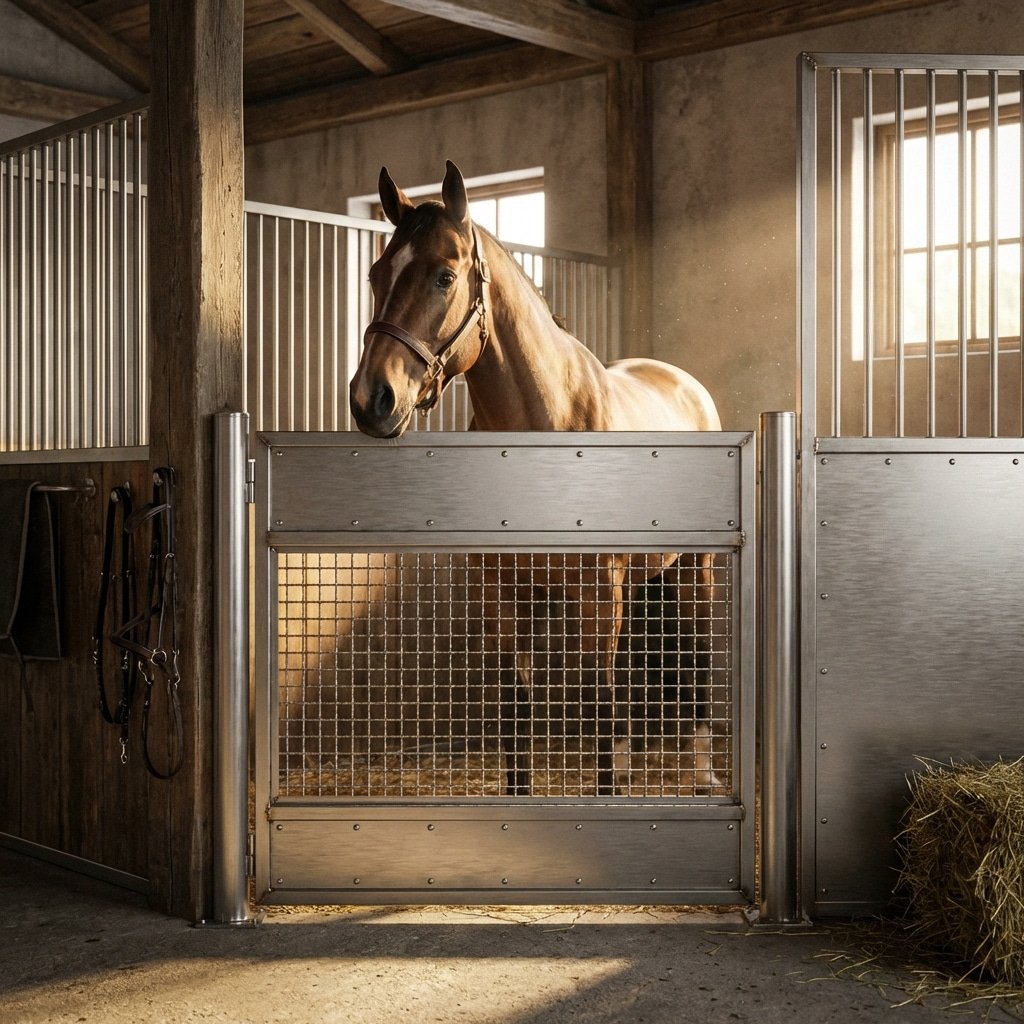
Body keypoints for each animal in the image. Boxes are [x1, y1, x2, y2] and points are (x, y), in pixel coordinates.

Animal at [349, 160, 721, 796]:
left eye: (445, 277)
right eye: (377, 273)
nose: (372, 399)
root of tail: (684, 383)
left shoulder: (598, 596)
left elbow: (597, 705)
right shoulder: (506, 597)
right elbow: (516, 709)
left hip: (694, 570)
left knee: (694, 656)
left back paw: (702, 775)